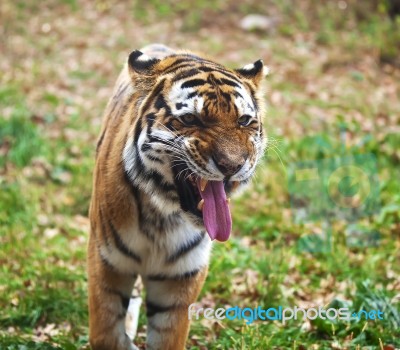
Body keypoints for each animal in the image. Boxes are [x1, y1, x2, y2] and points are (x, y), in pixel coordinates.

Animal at [89, 43, 268, 350]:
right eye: (191, 119)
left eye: (244, 121)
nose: (233, 165)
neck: (162, 216)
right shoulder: (106, 264)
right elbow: (107, 335)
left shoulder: (180, 279)